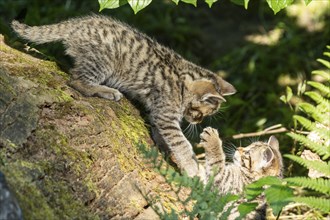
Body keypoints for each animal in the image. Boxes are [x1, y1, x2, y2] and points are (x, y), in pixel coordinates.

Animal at [11, 15, 236, 177]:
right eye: (200, 113)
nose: (196, 121)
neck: (182, 81)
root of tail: (77, 23)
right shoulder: (166, 115)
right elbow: (181, 142)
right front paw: (191, 167)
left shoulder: (158, 112)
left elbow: (161, 133)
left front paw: (165, 147)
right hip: (104, 61)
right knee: (76, 79)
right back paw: (106, 90)